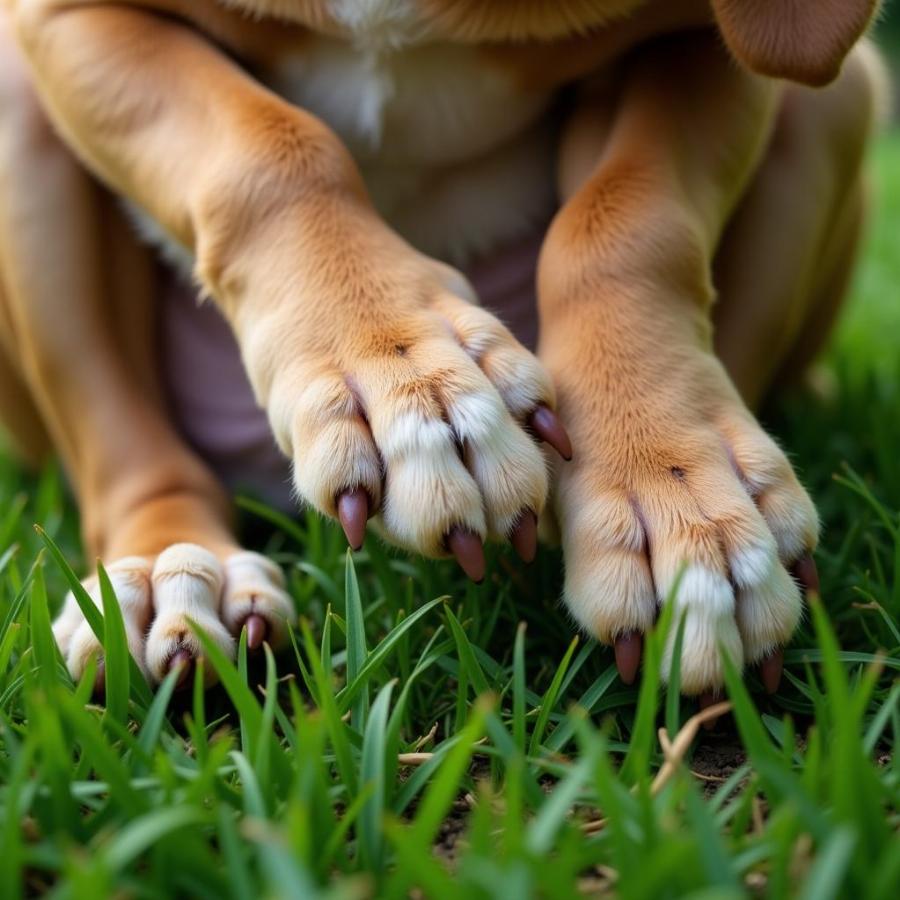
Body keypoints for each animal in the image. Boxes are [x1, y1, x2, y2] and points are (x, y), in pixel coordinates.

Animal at [0, 0, 884, 696]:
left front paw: (671, 484)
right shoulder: (69, 17)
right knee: (128, 451)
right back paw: (167, 572)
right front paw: (397, 374)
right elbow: (270, 145)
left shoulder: (704, 46)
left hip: (840, 97)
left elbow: (626, 217)